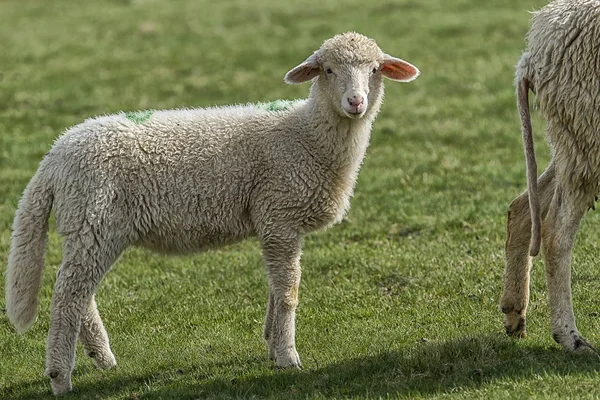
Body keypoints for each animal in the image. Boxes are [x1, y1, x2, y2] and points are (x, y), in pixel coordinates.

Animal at [5, 32, 422, 394]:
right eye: (328, 70)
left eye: (374, 69)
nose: (356, 102)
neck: (307, 136)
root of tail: (54, 157)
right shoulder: (279, 214)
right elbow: (288, 291)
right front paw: (287, 356)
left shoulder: (274, 222)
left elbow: (275, 290)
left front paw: (271, 343)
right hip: (93, 218)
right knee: (68, 296)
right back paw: (60, 377)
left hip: (90, 226)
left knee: (77, 291)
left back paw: (102, 358)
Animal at [500, 0, 600, 354]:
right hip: (587, 133)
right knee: (556, 233)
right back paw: (571, 337)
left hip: (576, 137)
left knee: (522, 207)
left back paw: (514, 314)